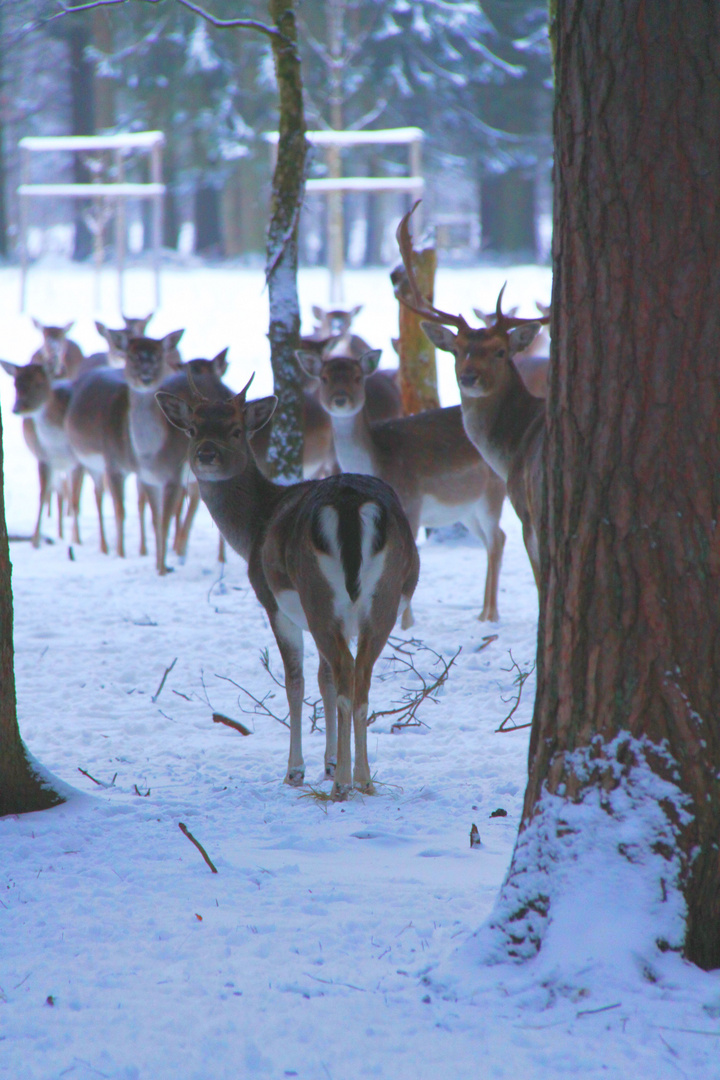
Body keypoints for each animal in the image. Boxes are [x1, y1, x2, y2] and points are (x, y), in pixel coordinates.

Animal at [0, 360, 83, 548]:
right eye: (15, 384)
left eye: (38, 383)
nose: (17, 408)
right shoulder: (44, 458)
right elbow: (42, 496)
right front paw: (35, 541)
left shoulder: (79, 461)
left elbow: (76, 500)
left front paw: (77, 541)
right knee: (61, 492)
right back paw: (59, 534)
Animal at [155, 375, 418, 799]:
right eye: (193, 429)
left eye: (236, 430)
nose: (206, 455)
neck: (255, 525)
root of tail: (350, 505)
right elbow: (324, 679)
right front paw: (329, 763)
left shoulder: (274, 603)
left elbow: (295, 682)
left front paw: (297, 771)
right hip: (385, 597)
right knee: (359, 678)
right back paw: (364, 780)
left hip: (317, 594)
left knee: (345, 674)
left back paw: (343, 785)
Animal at [297, 343, 507, 626]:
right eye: (324, 377)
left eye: (357, 377)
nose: (340, 400)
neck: (378, 462)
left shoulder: (412, 502)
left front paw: (407, 624)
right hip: (467, 509)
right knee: (491, 540)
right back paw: (482, 613)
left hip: (493, 493)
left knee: (497, 539)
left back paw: (492, 615)